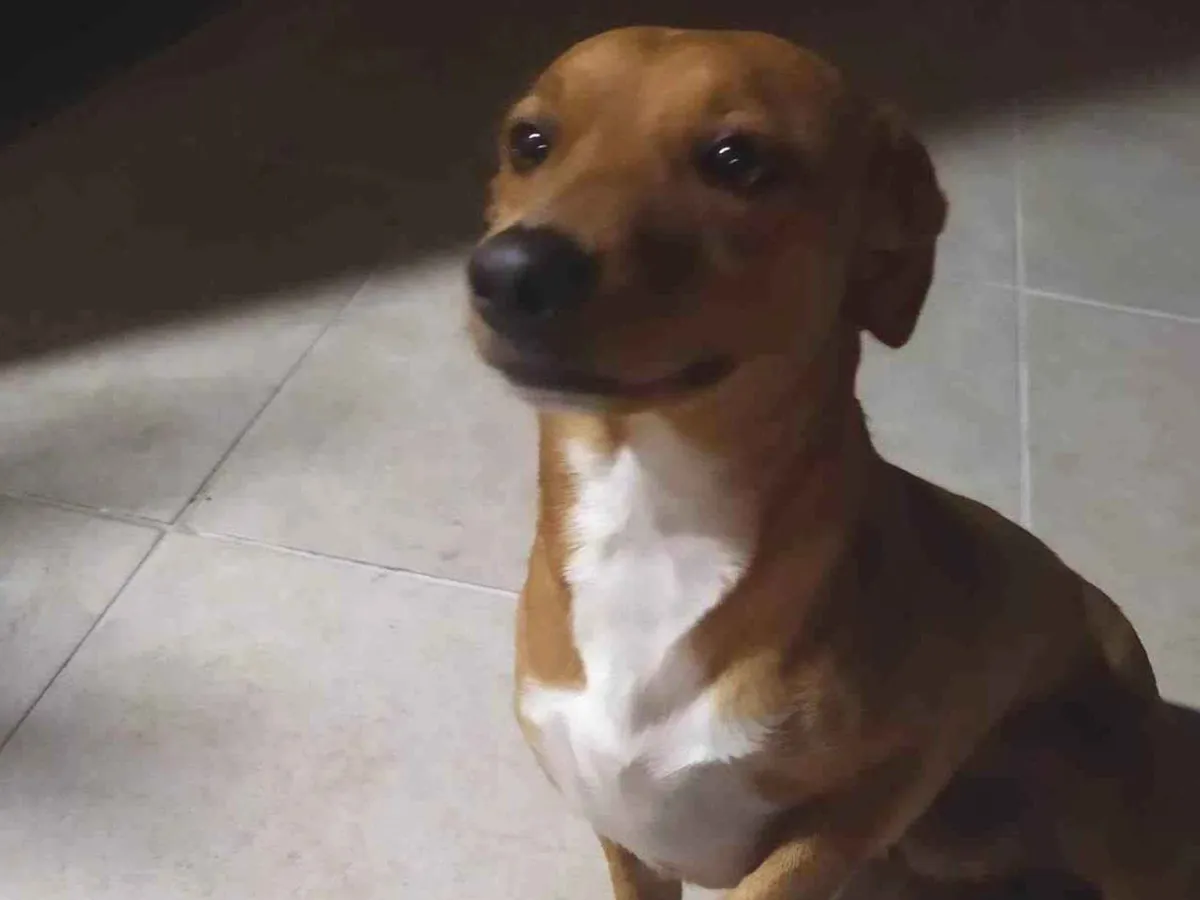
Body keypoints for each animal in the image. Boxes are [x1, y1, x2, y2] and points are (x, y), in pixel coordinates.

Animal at [463, 26, 1198, 900]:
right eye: (529, 142)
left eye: (736, 158)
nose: (510, 274)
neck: (654, 515)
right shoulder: (624, 832)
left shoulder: (847, 817)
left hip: (1110, 829)